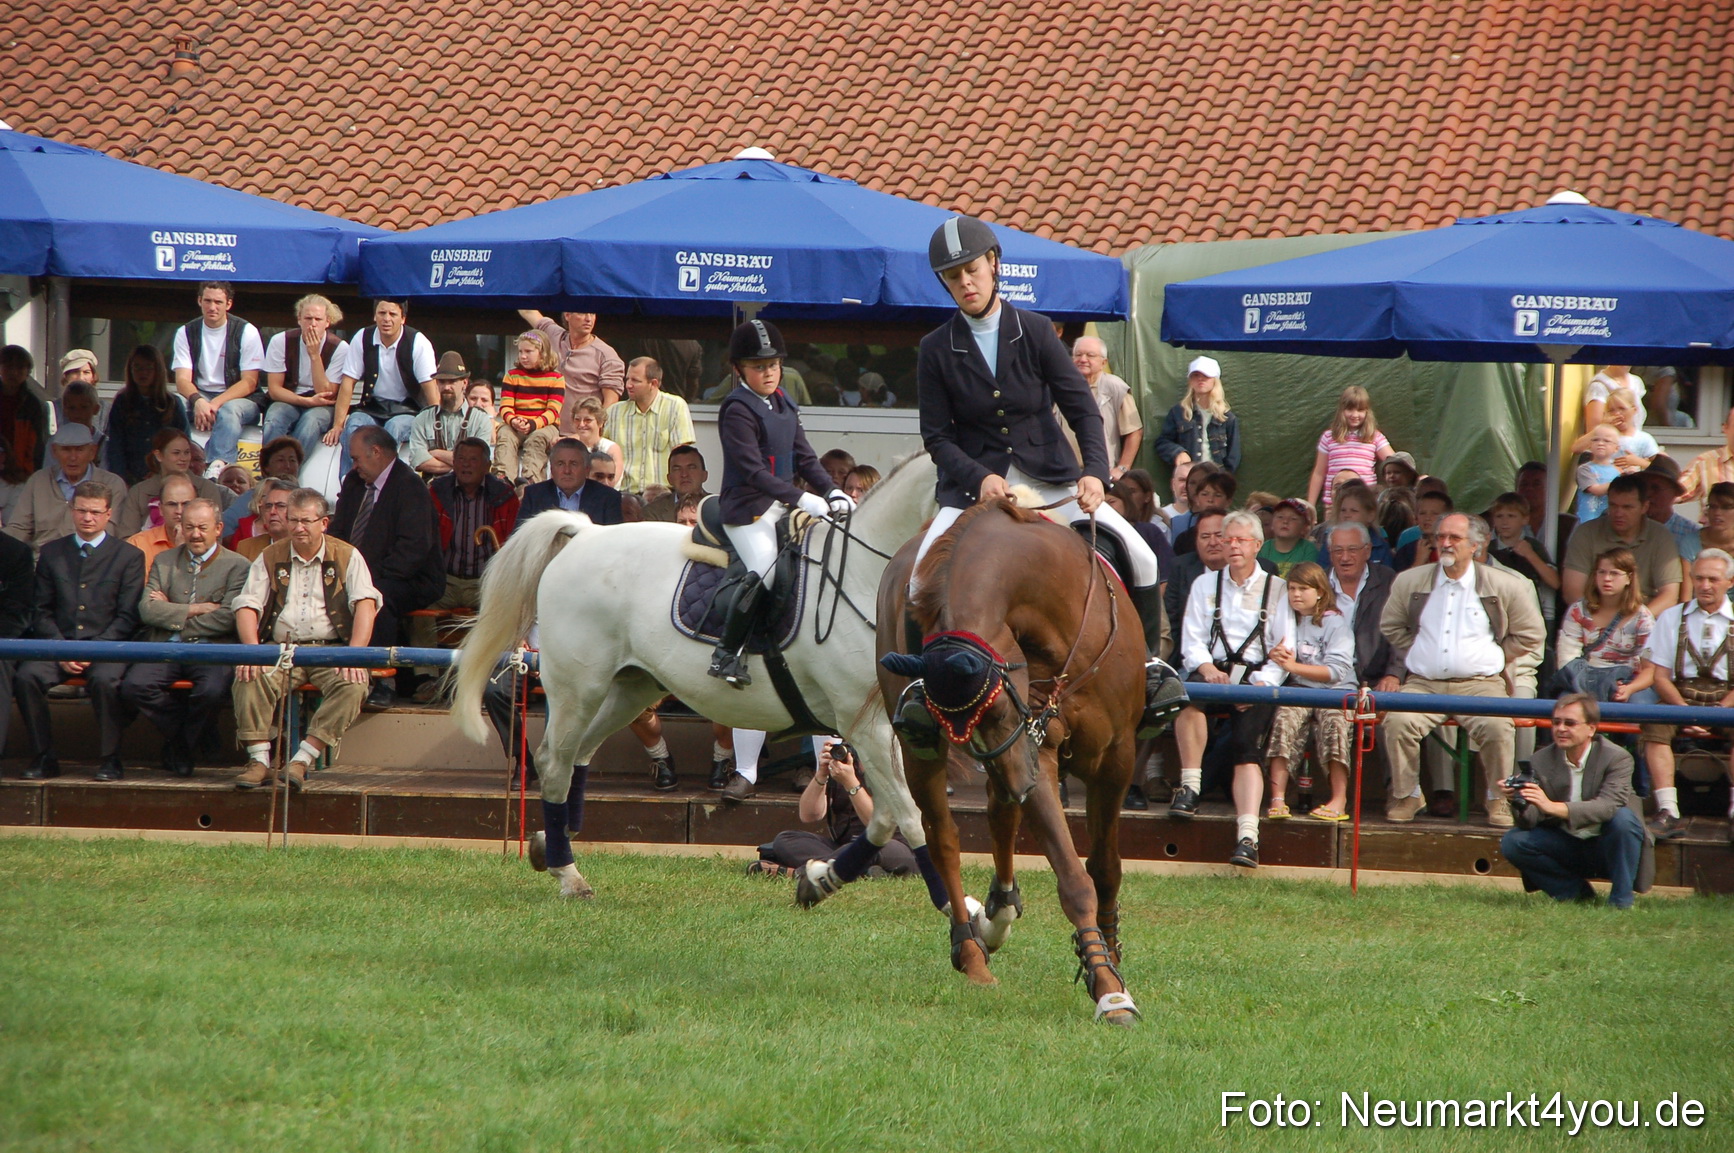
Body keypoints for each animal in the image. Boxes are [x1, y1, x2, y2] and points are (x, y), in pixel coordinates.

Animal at [450, 452, 951, 903]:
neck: (866, 577)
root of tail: (586, 533)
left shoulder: (884, 728)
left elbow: (888, 817)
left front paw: (820, 879)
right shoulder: (864, 724)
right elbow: (910, 817)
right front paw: (954, 909)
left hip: (630, 687)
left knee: (578, 755)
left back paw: (548, 845)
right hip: (579, 687)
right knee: (555, 761)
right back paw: (569, 875)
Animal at [874, 498, 1146, 1026]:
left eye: (998, 709)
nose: (1023, 782)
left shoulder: (1115, 757)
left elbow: (1104, 866)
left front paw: (1113, 960)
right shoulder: (1037, 748)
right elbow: (1073, 878)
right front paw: (1106, 986)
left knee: (1001, 814)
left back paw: (999, 910)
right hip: (928, 756)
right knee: (946, 838)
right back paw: (972, 950)